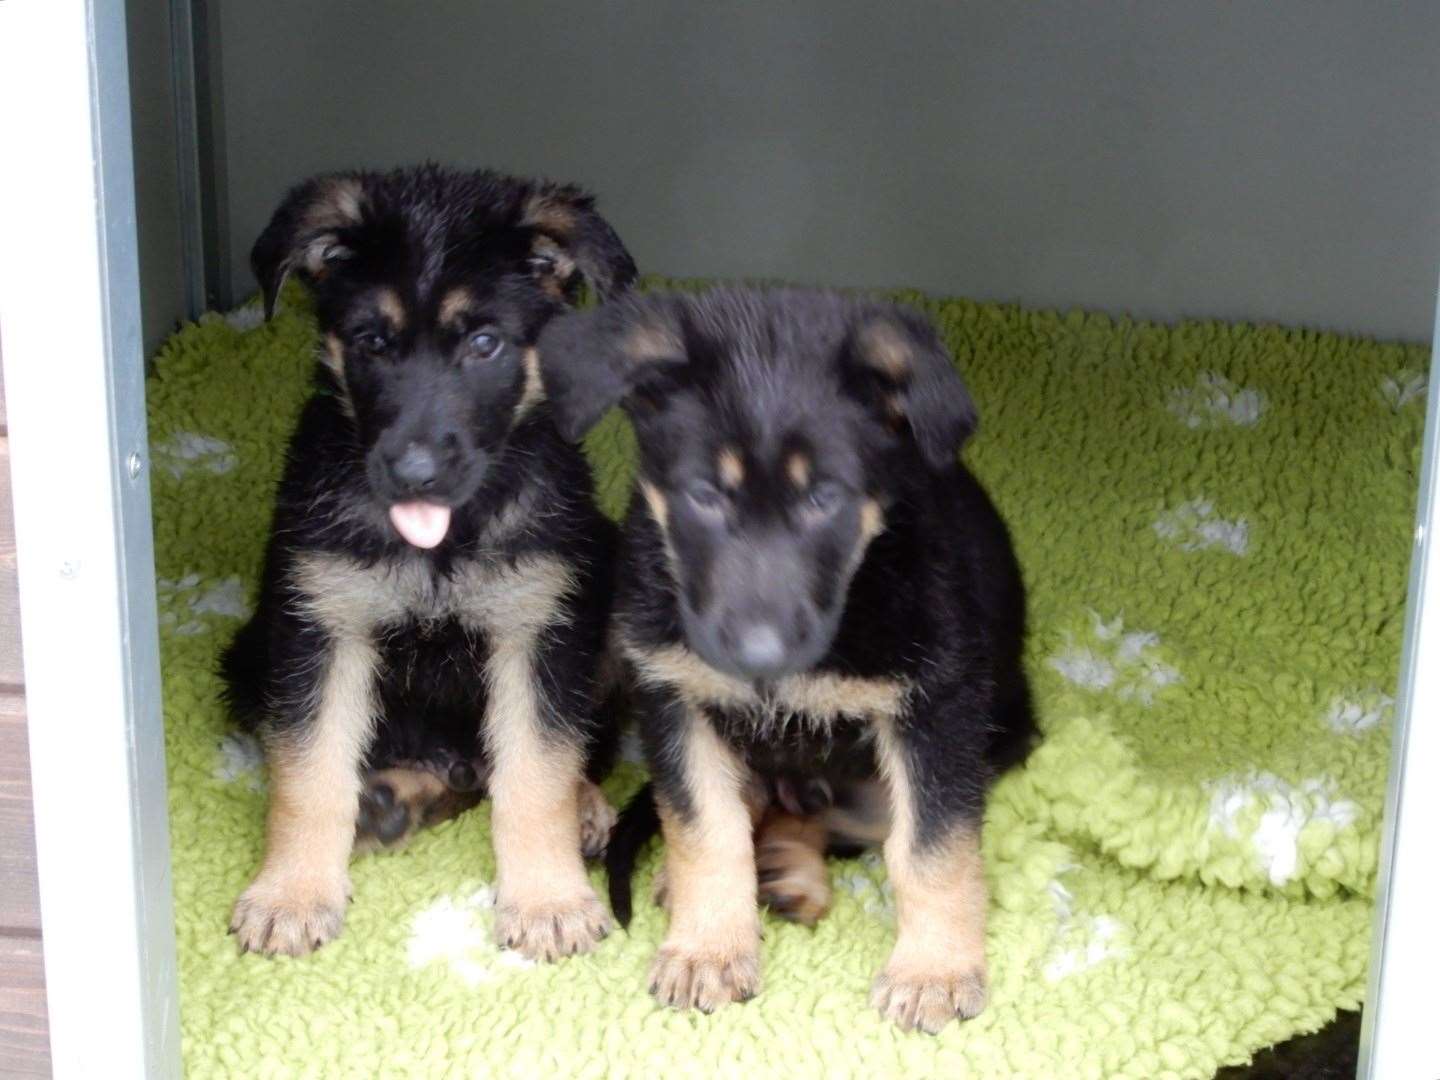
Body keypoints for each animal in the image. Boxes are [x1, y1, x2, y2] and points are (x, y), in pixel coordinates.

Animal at [220, 167, 636, 961]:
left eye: (484, 343)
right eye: (371, 341)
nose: (413, 474)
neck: (442, 546)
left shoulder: (538, 628)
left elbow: (539, 770)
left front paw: (548, 901)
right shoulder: (319, 624)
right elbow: (309, 769)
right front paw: (292, 895)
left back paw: (584, 809)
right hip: (250, 651)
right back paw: (391, 799)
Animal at [541, 285, 1036, 1031]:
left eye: (824, 497)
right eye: (704, 494)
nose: (757, 655)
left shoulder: (937, 710)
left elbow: (931, 848)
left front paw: (935, 971)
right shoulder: (676, 697)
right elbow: (703, 830)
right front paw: (709, 949)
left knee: (839, 818)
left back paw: (785, 870)